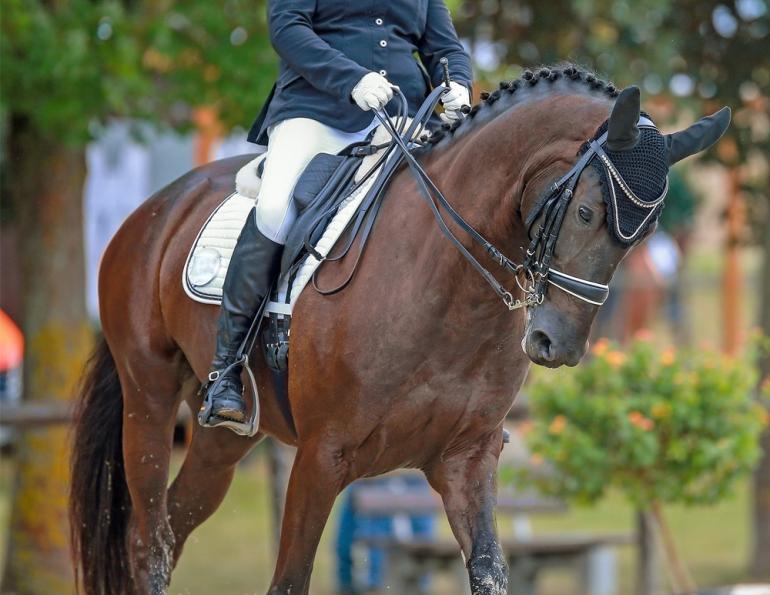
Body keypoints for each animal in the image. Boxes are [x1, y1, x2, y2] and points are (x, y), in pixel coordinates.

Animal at [69, 65, 729, 595]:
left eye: (645, 234)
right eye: (588, 212)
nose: (557, 345)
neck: (448, 291)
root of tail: (159, 206)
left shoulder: (467, 460)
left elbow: (491, 572)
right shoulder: (321, 458)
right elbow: (289, 581)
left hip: (224, 440)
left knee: (176, 524)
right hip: (149, 401)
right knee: (148, 543)